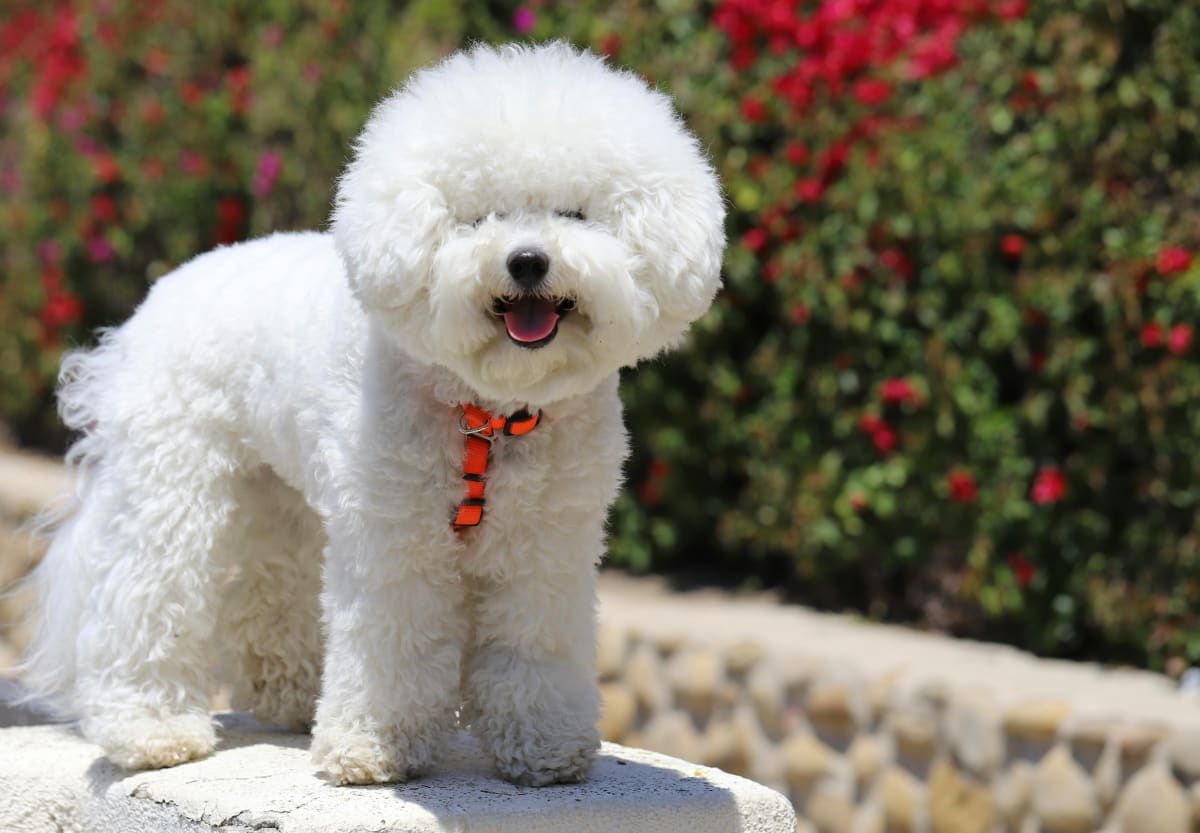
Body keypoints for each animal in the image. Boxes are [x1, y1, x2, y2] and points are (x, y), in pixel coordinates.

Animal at [21, 40, 720, 787]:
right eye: (477, 218)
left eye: (576, 215)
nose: (528, 261)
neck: (488, 413)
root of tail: (162, 292)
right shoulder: (396, 534)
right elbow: (395, 635)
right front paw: (372, 748)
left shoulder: (546, 546)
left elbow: (535, 638)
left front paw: (545, 747)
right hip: (175, 480)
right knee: (148, 593)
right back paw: (151, 731)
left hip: (282, 497)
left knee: (273, 588)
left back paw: (293, 696)